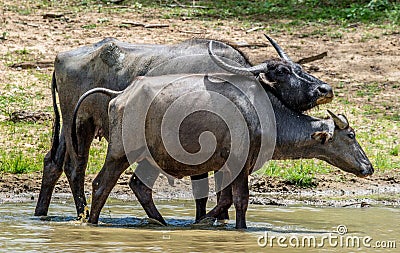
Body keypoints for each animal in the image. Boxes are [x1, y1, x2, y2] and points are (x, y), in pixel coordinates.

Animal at [35, 34, 334, 218]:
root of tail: (61, 58)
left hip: (71, 130)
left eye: (298, 66)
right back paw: (81, 213)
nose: (325, 89)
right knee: (75, 168)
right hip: (79, 125)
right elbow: (205, 192)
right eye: (282, 72)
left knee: (53, 163)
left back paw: (42, 213)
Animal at [71, 70, 372, 227]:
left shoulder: (230, 166)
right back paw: (92, 222)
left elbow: (224, 199)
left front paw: (203, 222)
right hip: (120, 153)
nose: (368, 167)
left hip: (150, 158)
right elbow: (239, 200)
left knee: (139, 186)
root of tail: (121, 94)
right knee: (101, 184)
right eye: (351, 135)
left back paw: (161, 222)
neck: (264, 113)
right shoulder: (239, 165)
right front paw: (237, 228)